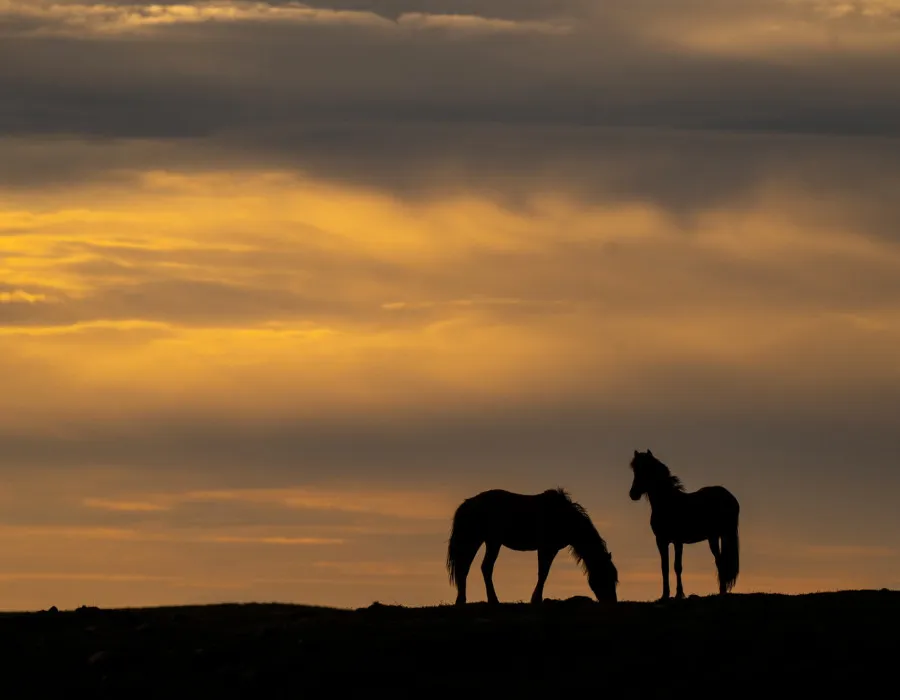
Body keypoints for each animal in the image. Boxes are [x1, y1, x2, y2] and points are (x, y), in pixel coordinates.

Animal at [446, 487, 618, 606]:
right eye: (606, 576)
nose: (612, 602)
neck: (565, 517)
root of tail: (468, 503)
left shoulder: (550, 549)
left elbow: (543, 573)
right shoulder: (547, 548)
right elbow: (543, 573)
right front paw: (536, 599)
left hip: (482, 541)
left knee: (469, 567)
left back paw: (464, 600)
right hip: (487, 541)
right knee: (480, 567)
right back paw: (489, 600)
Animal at [629, 449, 740, 601]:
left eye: (647, 469)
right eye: (635, 470)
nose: (633, 494)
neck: (667, 503)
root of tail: (730, 496)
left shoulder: (678, 541)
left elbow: (677, 566)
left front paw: (679, 594)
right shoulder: (661, 541)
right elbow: (664, 567)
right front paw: (664, 595)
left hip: (722, 534)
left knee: (720, 560)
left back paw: (722, 592)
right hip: (714, 536)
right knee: (719, 560)